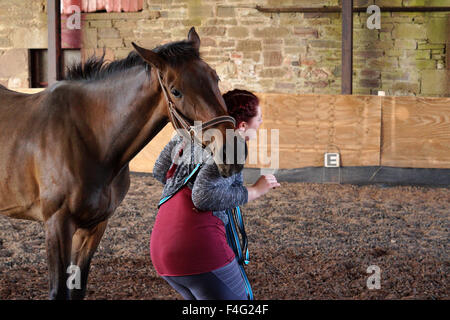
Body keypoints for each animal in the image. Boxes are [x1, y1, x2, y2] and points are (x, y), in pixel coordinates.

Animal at [0, 27, 244, 300]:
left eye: (216, 78)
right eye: (176, 90)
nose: (232, 152)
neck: (89, 136)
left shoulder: (94, 227)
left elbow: (77, 288)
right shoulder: (57, 224)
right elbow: (58, 291)